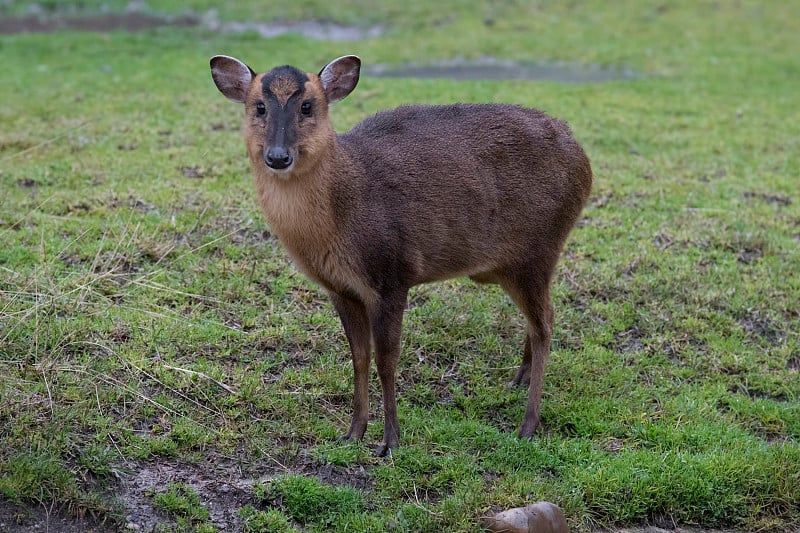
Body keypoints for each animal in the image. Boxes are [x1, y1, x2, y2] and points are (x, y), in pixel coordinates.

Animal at [209, 53, 592, 454]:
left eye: (307, 105)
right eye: (259, 106)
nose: (278, 156)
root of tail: (583, 159)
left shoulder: (392, 274)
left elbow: (386, 359)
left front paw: (391, 440)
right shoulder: (340, 288)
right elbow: (359, 357)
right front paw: (353, 432)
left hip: (539, 249)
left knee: (546, 323)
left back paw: (527, 425)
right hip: (513, 265)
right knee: (537, 320)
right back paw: (517, 380)